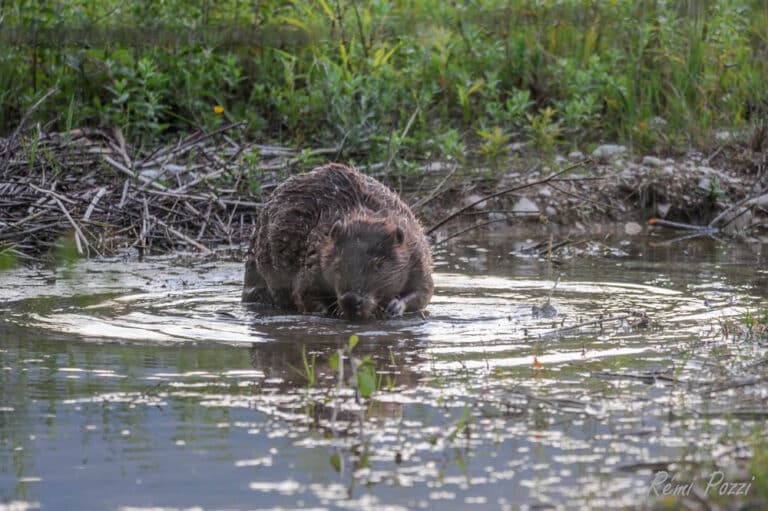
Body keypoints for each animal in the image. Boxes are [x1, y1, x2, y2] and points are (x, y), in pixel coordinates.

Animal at [242, 163, 432, 320]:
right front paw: (330, 312)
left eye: (378, 265)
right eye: (338, 263)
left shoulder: (416, 253)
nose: (351, 300)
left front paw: (394, 307)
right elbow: (304, 294)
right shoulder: (315, 256)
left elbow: (424, 291)